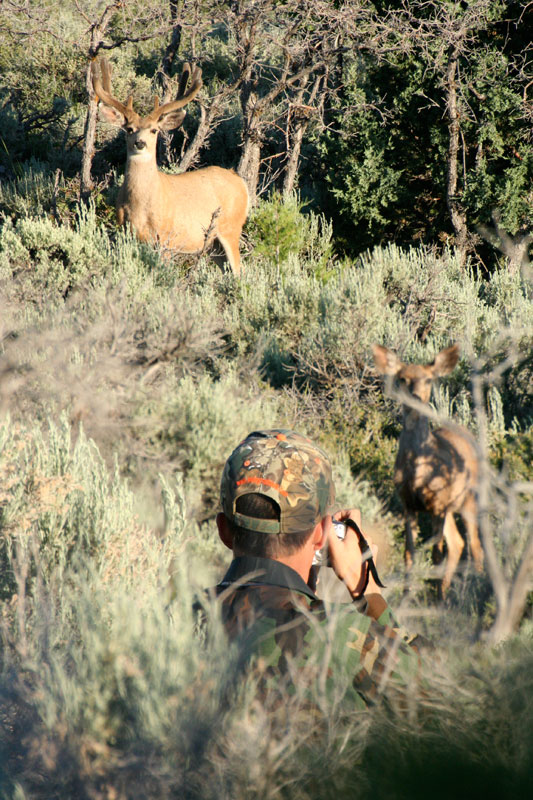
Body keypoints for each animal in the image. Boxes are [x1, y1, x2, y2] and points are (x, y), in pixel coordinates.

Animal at [92, 59, 249, 276]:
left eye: (154, 130)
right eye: (129, 129)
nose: (140, 143)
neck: (142, 206)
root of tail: (241, 182)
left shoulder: (166, 238)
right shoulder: (126, 232)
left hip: (231, 228)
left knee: (239, 272)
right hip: (213, 245)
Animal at [372, 344, 484, 592]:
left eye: (428, 379)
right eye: (402, 378)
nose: (415, 396)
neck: (417, 472)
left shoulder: (437, 504)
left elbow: (436, 554)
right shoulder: (408, 503)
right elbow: (409, 554)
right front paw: (407, 594)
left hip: (468, 499)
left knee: (474, 545)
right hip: (449, 506)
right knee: (457, 543)